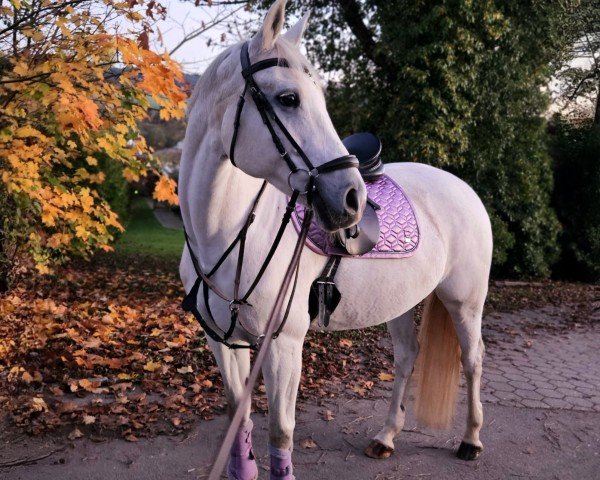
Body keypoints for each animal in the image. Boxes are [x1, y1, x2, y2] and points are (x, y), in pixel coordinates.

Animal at [178, 1, 492, 478]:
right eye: (288, 98)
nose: (352, 199)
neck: (227, 234)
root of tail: (463, 187)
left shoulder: (284, 345)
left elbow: (281, 434)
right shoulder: (223, 341)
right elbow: (239, 419)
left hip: (465, 301)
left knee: (472, 359)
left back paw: (471, 439)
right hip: (402, 301)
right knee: (407, 356)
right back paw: (386, 437)